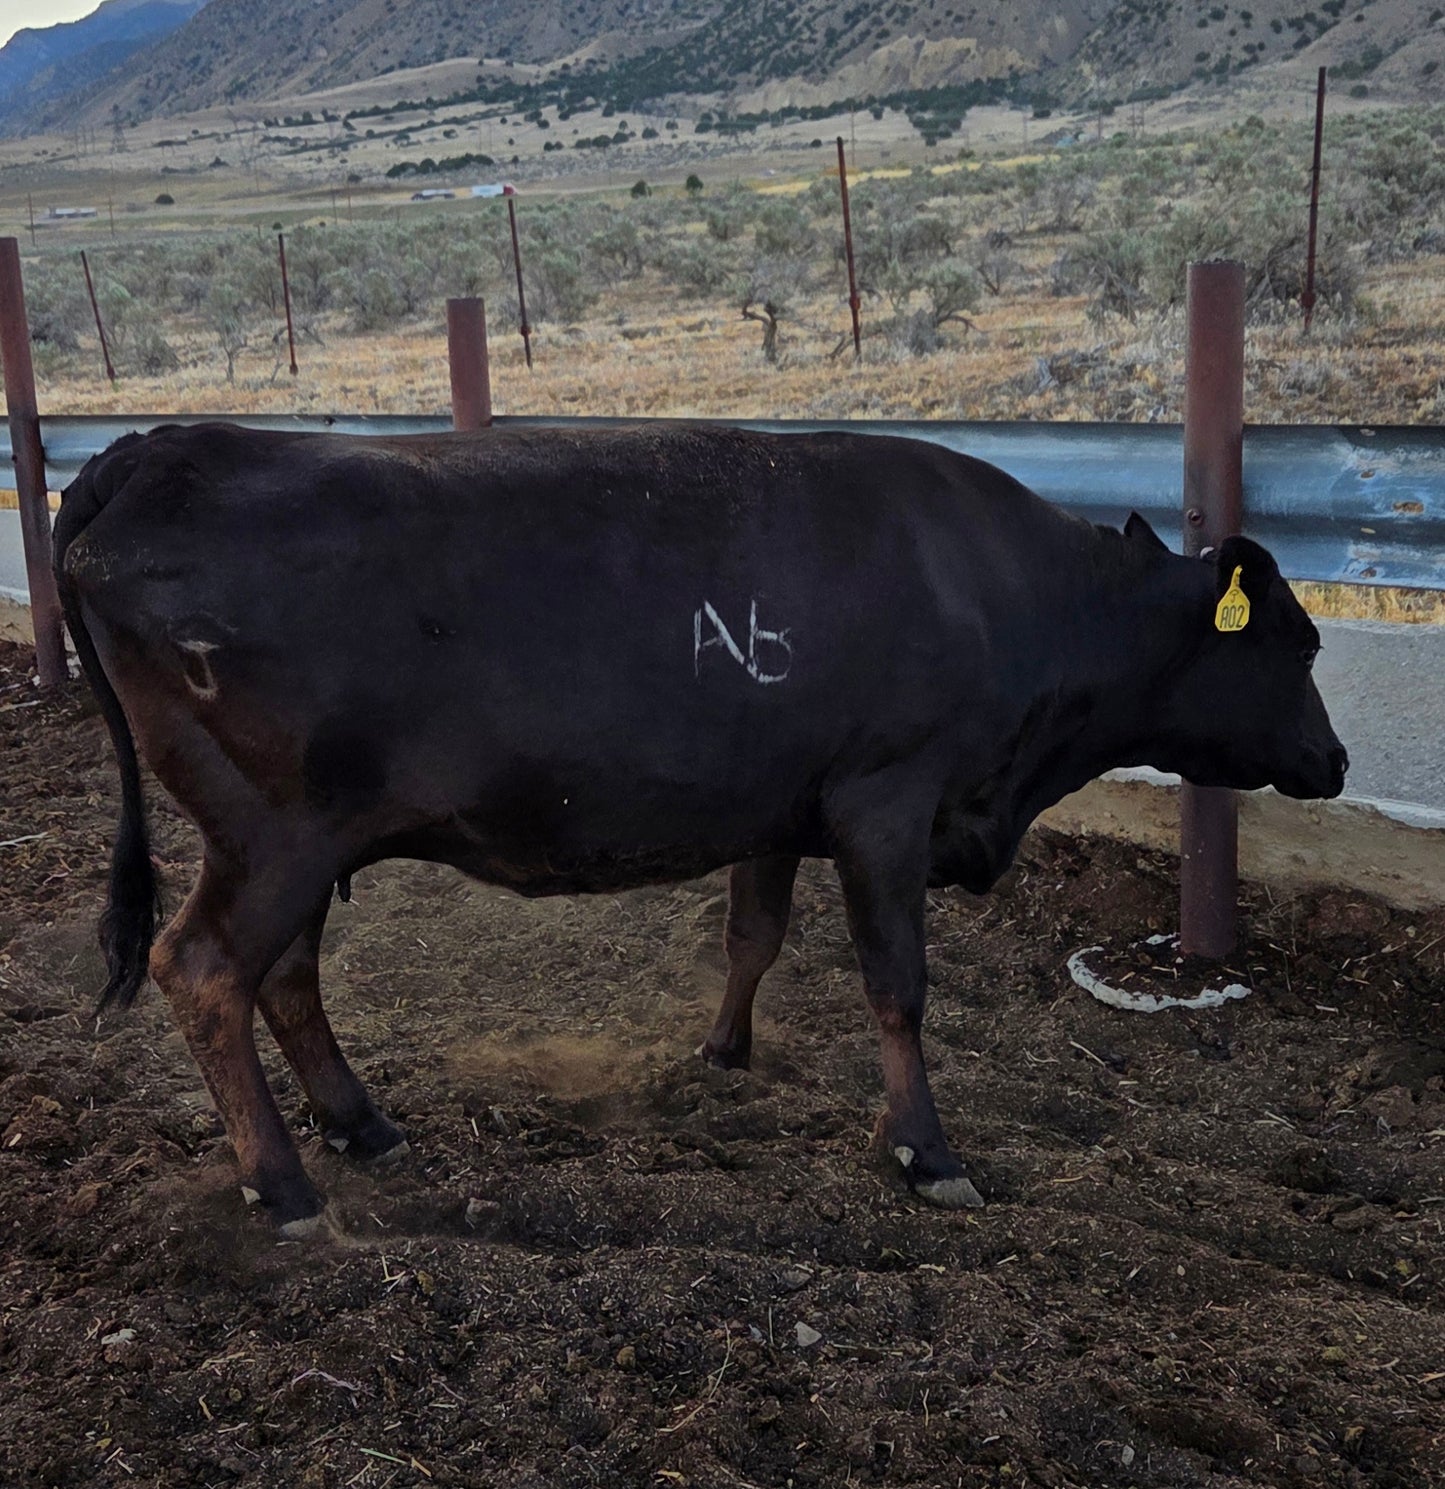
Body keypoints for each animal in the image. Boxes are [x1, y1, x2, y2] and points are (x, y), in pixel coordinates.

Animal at [53, 422, 1346, 1237]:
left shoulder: (781, 798)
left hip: (304, 841)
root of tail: (164, 447)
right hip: (271, 837)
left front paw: (724, 1051)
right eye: (1295, 642)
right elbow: (896, 984)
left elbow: (752, 935)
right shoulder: (887, 798)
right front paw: (923, 1151)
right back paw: (281, 1185)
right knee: (204, 969)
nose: (1334, 761)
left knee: (284, 977)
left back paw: (359, 1125)